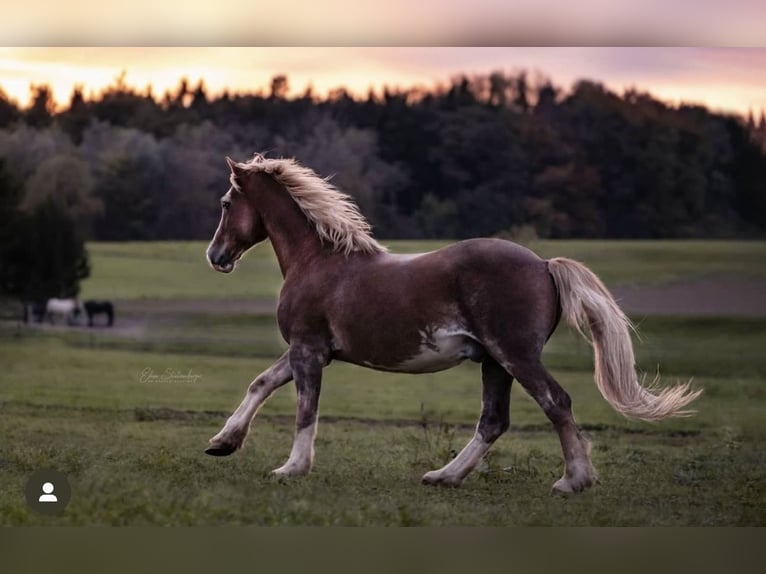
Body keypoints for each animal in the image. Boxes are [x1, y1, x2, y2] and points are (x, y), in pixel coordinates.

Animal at [202, 154, 704, 496]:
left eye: (226, 202)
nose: (215, 256)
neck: (319, 259)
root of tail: (543, 264)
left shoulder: (308, 350)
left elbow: (305, 409)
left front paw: (291, 468)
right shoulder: (312, 350)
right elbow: (261, 382)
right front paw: (222, 442)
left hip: (515, 356)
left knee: (555, 402)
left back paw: (572, 481)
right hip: (495, 363)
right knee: (493, 421)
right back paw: (444, 475)